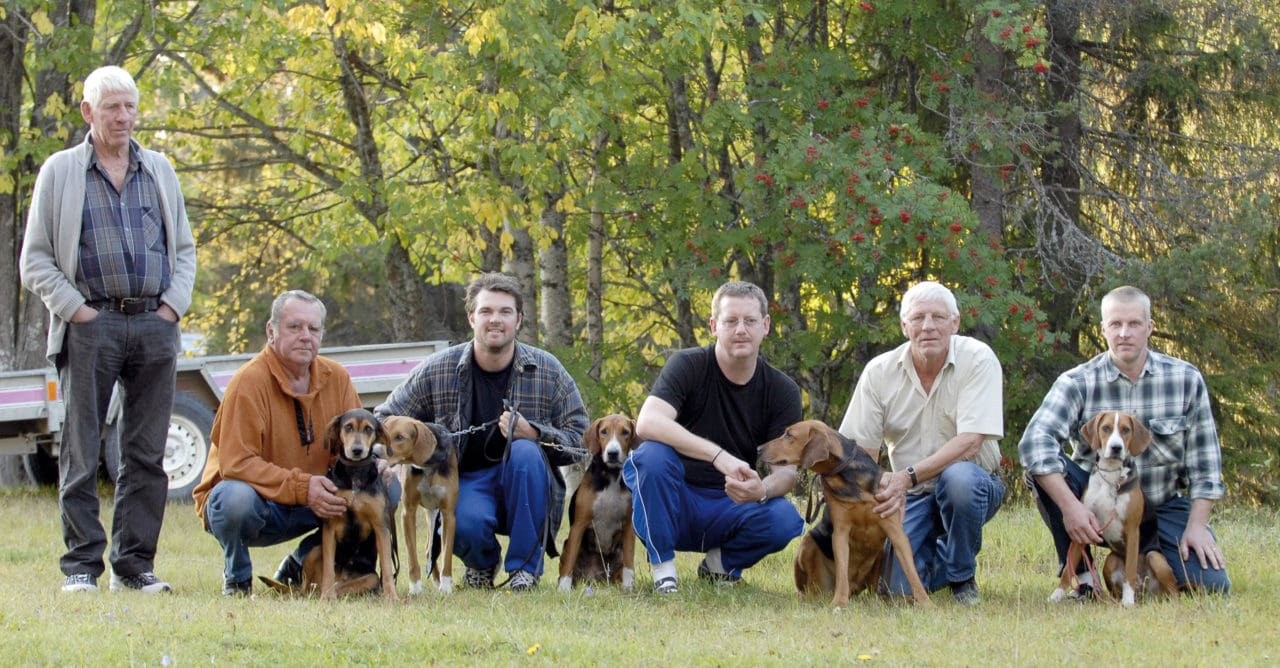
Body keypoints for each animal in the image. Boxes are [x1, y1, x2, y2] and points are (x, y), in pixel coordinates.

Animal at [378, 414, 460, 593]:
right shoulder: (408, 513)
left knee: (431, 550)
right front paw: (415, 587)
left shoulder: (448, 515)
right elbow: (412, 557)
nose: (374, 453)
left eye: (399, 437)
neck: (427, 465)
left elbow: (447, 556)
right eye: (383, 433)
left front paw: (446, 586)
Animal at [560, 412, 640, 591]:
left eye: (625, 432)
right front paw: (563, 589)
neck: (611, 474)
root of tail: (595, 579)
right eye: (604, 432)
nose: (612, 453)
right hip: (566, 544)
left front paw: (628, 588)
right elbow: (569, 561)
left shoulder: (628, 527)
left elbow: (629, 563)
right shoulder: (579, 525)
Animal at [757, 422, 931, 609]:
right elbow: (842, 572)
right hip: (808, 545)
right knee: (810, 588)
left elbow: (912, 573)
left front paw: (926, 603)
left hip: (880, 557)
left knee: (875, 591)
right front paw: (839, 602)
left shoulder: (896, 532)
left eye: (789, 435)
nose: (758, 449)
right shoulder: (840, 533)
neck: (847, 477)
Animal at [1049, 406, 1177, 606]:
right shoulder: (1081, 527)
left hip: (1155, 558)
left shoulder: (1132, 531)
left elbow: (1130, 570)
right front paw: (1056, 595)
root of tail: (1145, 591)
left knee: (1174, 592)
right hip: (1110, 560)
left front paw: (1128, 601)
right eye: (1106, 428)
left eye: (1126, 430)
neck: (1110, 475)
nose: (1116, 448)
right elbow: (1068, 570)